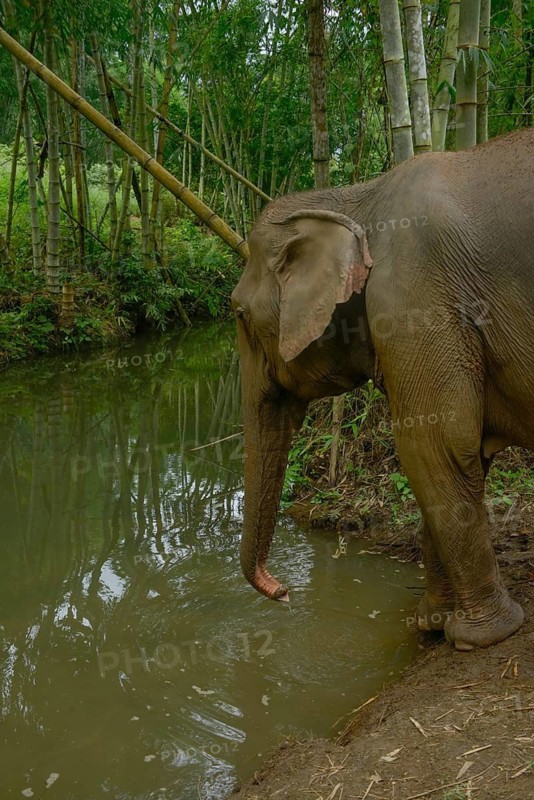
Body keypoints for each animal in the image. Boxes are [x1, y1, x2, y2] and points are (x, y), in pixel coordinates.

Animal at [231, 128, 534, 651]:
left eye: (238, 313)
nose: (285, 592)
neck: (357, 198)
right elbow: (448, 449)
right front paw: (431, 623)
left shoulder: (417, 296)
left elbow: (433, 442)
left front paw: (477, 637)